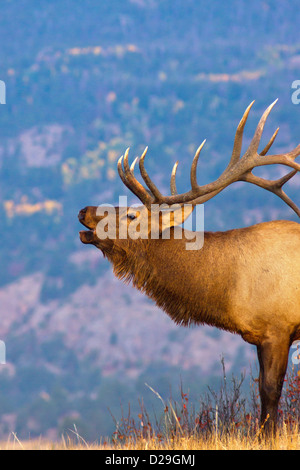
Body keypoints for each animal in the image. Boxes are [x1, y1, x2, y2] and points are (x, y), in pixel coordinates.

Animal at [79, 100, 300, 434]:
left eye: (131, 215)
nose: (84, 210)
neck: (231, 290)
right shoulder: (261, 335)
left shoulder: (278, 328)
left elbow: (270, 392)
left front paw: (269, 437)